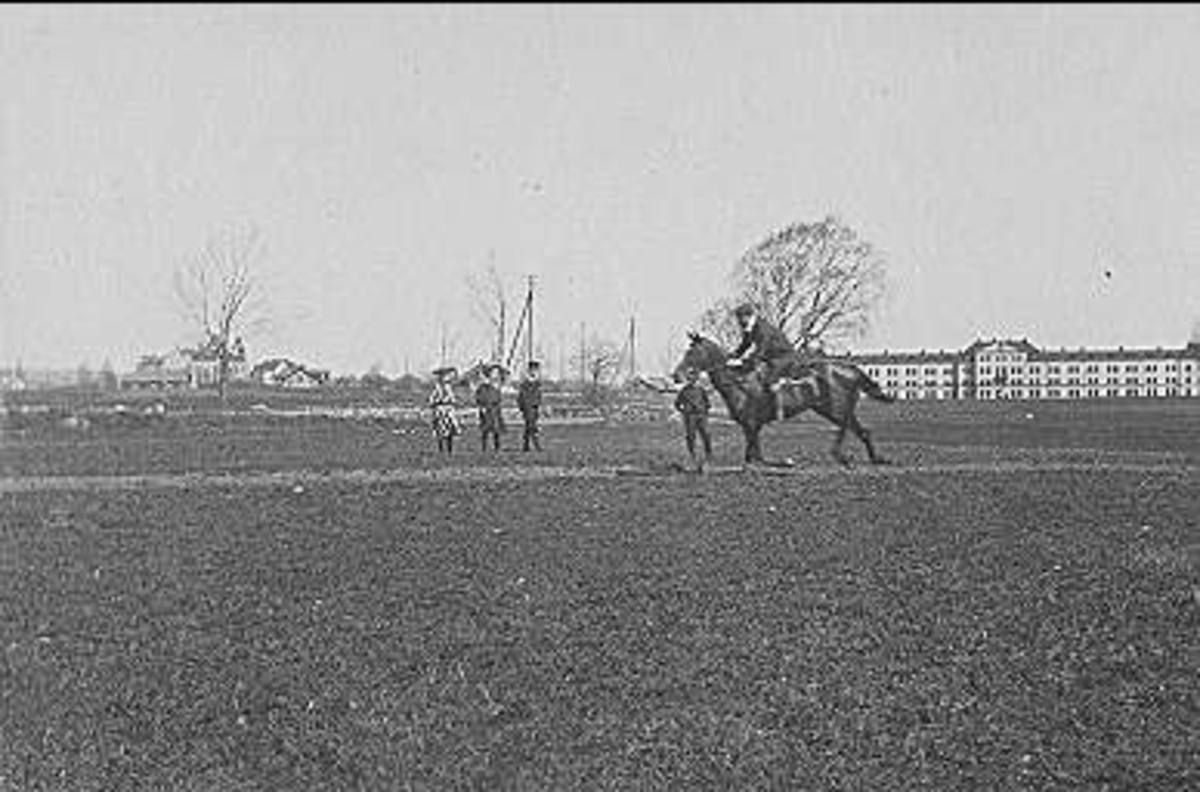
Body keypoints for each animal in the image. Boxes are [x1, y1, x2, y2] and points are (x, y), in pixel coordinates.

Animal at [672, 332, 895, 467]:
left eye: (692, 352)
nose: (676, 375)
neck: (738, 382)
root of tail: (850, 368)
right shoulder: (751, 427)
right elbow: (754, 455)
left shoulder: (751, 425)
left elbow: (755, 457)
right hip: (833, 408)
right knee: (862, 430)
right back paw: (874, 458)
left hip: (834, 408)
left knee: (848, 427)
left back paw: (840, 454)